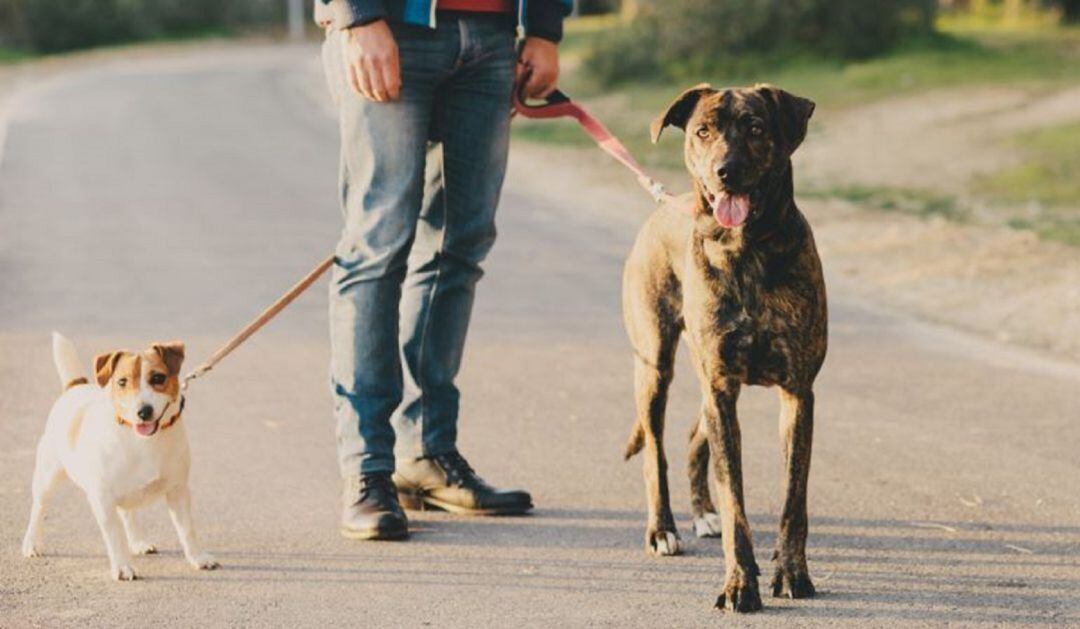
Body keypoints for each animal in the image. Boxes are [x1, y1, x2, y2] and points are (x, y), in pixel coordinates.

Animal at [23, 332, 217, 583]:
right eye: (122, 382)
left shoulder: (178, 491)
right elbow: (115, 536)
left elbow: (187, 529)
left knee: (128, 513)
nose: (143, 411)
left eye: (158, 377)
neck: (142, 441)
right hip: (47, 478)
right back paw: (31, 543)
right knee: (38, 508)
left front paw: (198, 558)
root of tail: (76, 386)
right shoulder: (103, 499)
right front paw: (123, 566)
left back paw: (138, 542)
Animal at [622, 83, 820, 618]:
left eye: (755, 126)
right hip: (656, 365)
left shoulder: (797, 393)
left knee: (695, 437)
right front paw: (739, 584)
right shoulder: (721, 387)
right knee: (655, 452)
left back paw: (702, 513)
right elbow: (737, 505)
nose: (724, 171)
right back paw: (664, 529)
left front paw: (791, 573)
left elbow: (794, 501)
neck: (745, 248)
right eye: (702, 131)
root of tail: (665, 204)